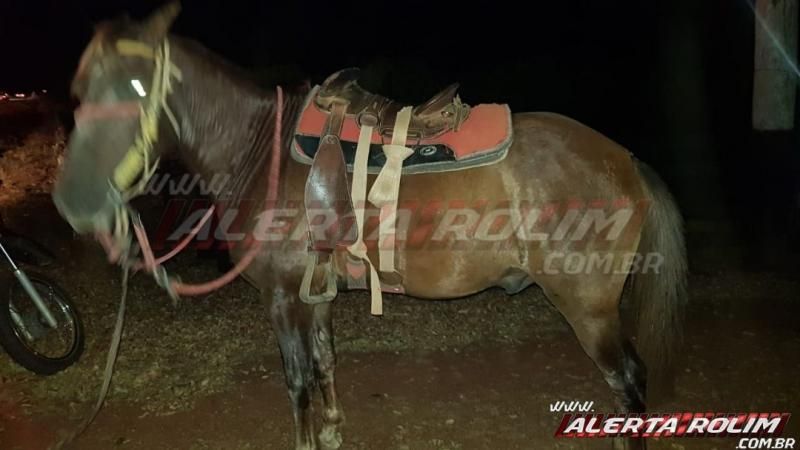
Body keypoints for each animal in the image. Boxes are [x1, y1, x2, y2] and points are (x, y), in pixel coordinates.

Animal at [51, 3, 687, 449]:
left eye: (138, 86)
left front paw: (308, 441)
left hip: (590, 307)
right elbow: (325, 362)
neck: (261, 151)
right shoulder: (317, 292)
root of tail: (625, 157)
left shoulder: (282, 297)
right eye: (79, 89)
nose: (73, 201)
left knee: (628, 380)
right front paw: (333, 431)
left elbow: (297, 378)